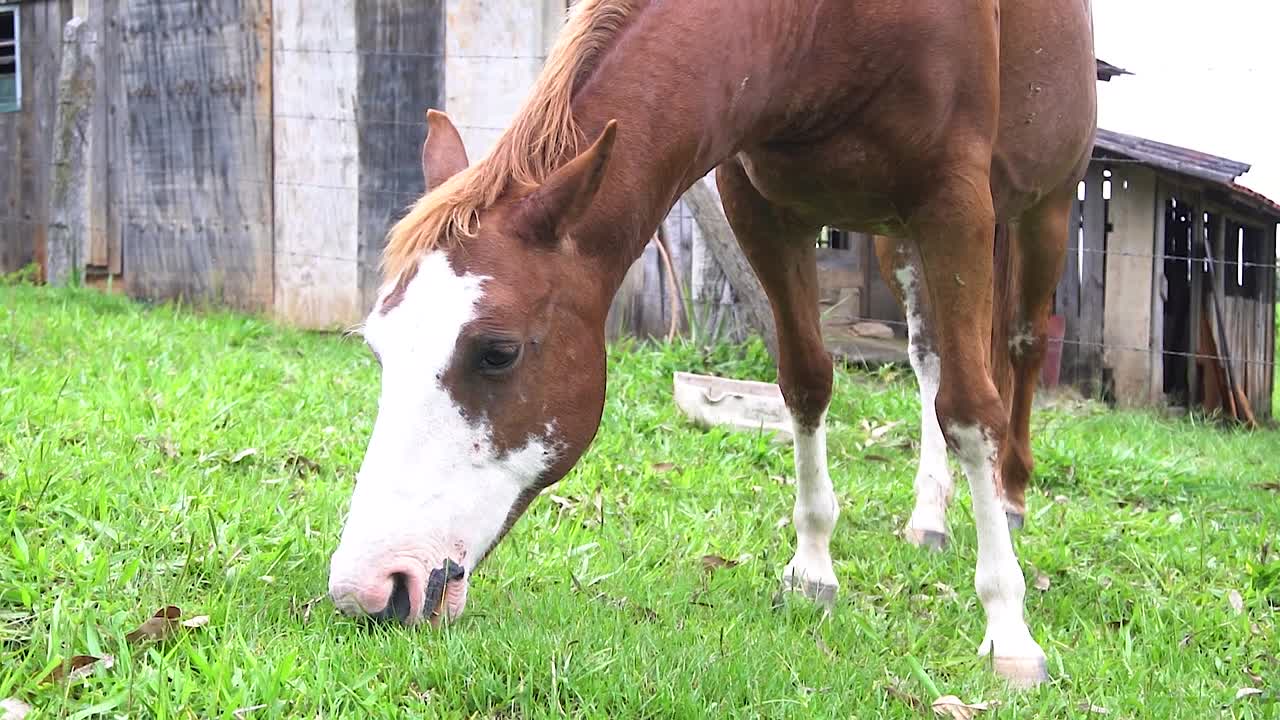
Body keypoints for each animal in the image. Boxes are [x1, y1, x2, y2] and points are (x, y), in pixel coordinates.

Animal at [326, 0, 1097, 687]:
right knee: (929, 355)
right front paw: (813, 567)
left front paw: (1009, 632)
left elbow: (970, 410)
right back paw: (930, 516)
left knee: (1017, 348)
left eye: (497, 352)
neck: (827, 25)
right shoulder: (762, 206)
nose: (372, 589)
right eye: (379, 351)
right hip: (895, 239)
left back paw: (1013, 496)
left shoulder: (954, 203)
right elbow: (807, 382)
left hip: (1043, 209)